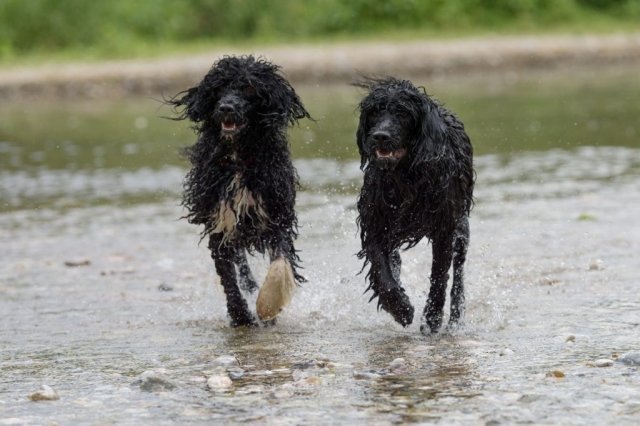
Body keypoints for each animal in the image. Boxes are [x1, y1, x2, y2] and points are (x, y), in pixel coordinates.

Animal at [168, 55, 310, 326]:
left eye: (250, 89)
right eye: (221, 87)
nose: (226, 108)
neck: (238, 159)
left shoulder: (277, 216)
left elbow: (280, 265)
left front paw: (267, 307)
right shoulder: (220, 222)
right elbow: (228, 276)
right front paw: (241, 315)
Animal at [356, 76, 476, 334]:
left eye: (403, 113)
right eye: (375, 111)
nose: (380, 136)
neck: (406, 175)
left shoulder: (444, 228)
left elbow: (439, 275)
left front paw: (431, 318)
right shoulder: (375, 224)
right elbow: (382, 270)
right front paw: (399, 307)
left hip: (461, 229)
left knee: (458, 276)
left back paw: (455, 320)